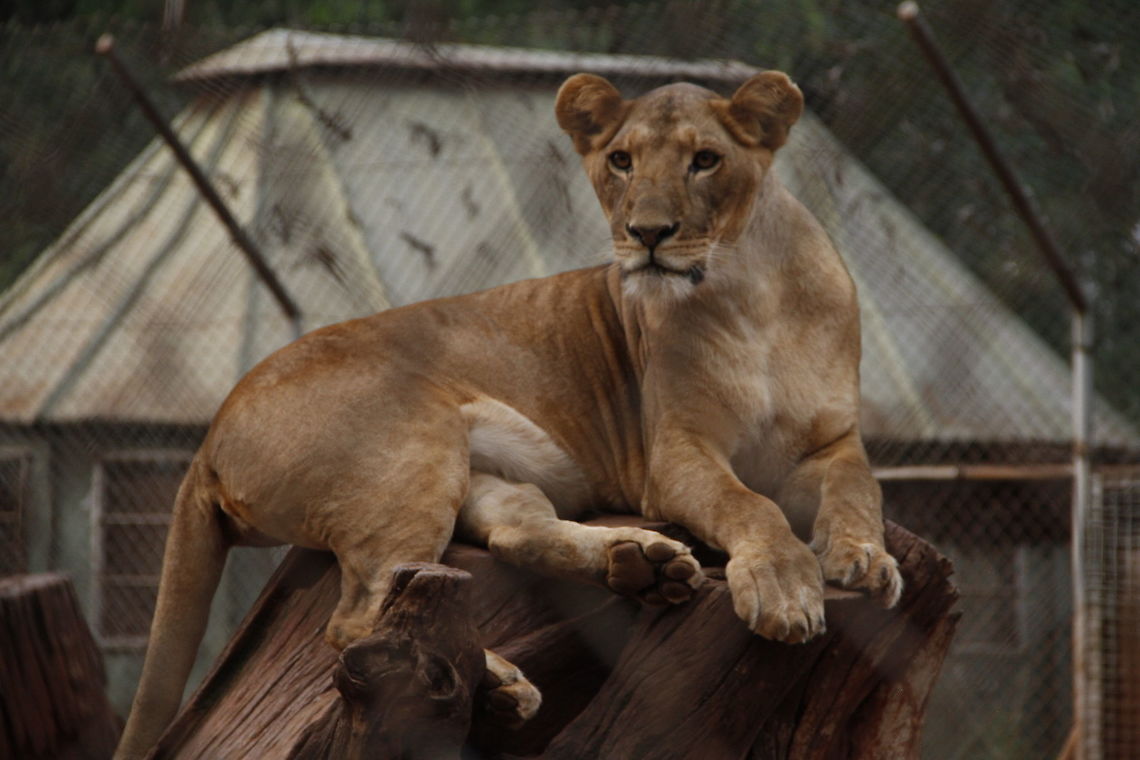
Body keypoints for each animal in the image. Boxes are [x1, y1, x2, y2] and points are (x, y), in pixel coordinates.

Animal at [114, 70, 902, 759]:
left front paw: (864, 559)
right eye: (621, 161)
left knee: (513, 537)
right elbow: (750, 506)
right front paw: (785, 587)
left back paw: (639, 567)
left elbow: (862, 489)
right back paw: (494, 680)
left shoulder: (833, 440)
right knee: (361, 620)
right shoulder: (677, 453)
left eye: (705, 160)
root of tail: (210, 434)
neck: (750, 294)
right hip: (412, 446)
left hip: (479, 472)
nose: (646, 232)